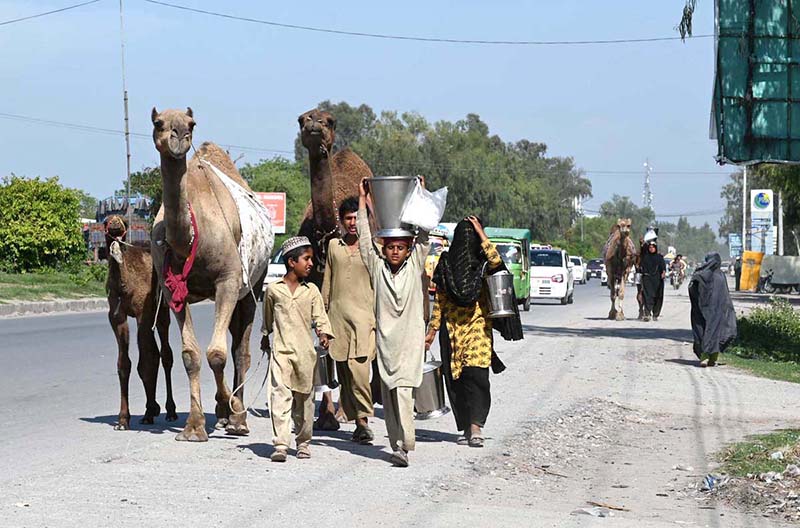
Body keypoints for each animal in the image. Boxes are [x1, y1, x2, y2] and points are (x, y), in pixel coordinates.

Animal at [104, 214, 177, 428]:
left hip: (162, 311)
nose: (115, 223)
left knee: (165, 354)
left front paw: (150, 411)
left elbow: (146, 362)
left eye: (124, 222)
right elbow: (124, 364)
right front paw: (123, 419)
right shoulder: (116, 316)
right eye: (105, 221)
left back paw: (169, 411)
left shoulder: (142, 313)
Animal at [149, 107, 272, 442]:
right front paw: (194, 426)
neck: (194, 234)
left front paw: (235, 414)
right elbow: (190, 355)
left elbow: (217, 353)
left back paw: (237, 412)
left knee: (241, 349)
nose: (179, 135)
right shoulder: (172, 291)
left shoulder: (227, 282)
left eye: (191, 123)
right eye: (158, 123)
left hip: (253, 285)